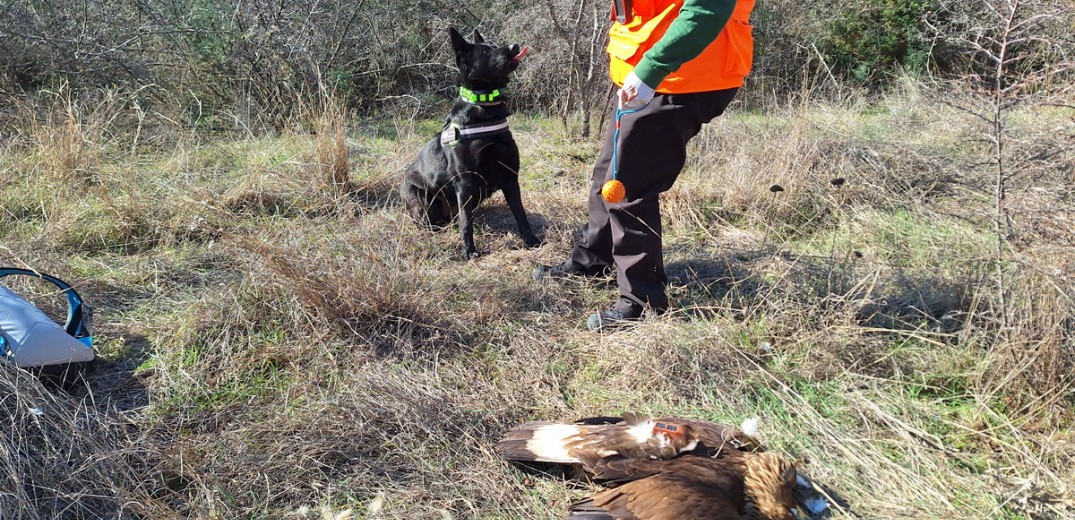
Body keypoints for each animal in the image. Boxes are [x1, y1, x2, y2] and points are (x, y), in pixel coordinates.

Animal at [402, 27, 541, 258]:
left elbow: (520, 214)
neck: (485, 106)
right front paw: (469, 251)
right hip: (425, 200)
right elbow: (466, 223)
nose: (514, 46)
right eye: (484, 52)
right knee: (437, 221)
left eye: (495, 45)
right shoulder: (465, 181)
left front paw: (531, 240)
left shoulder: (510, 176)